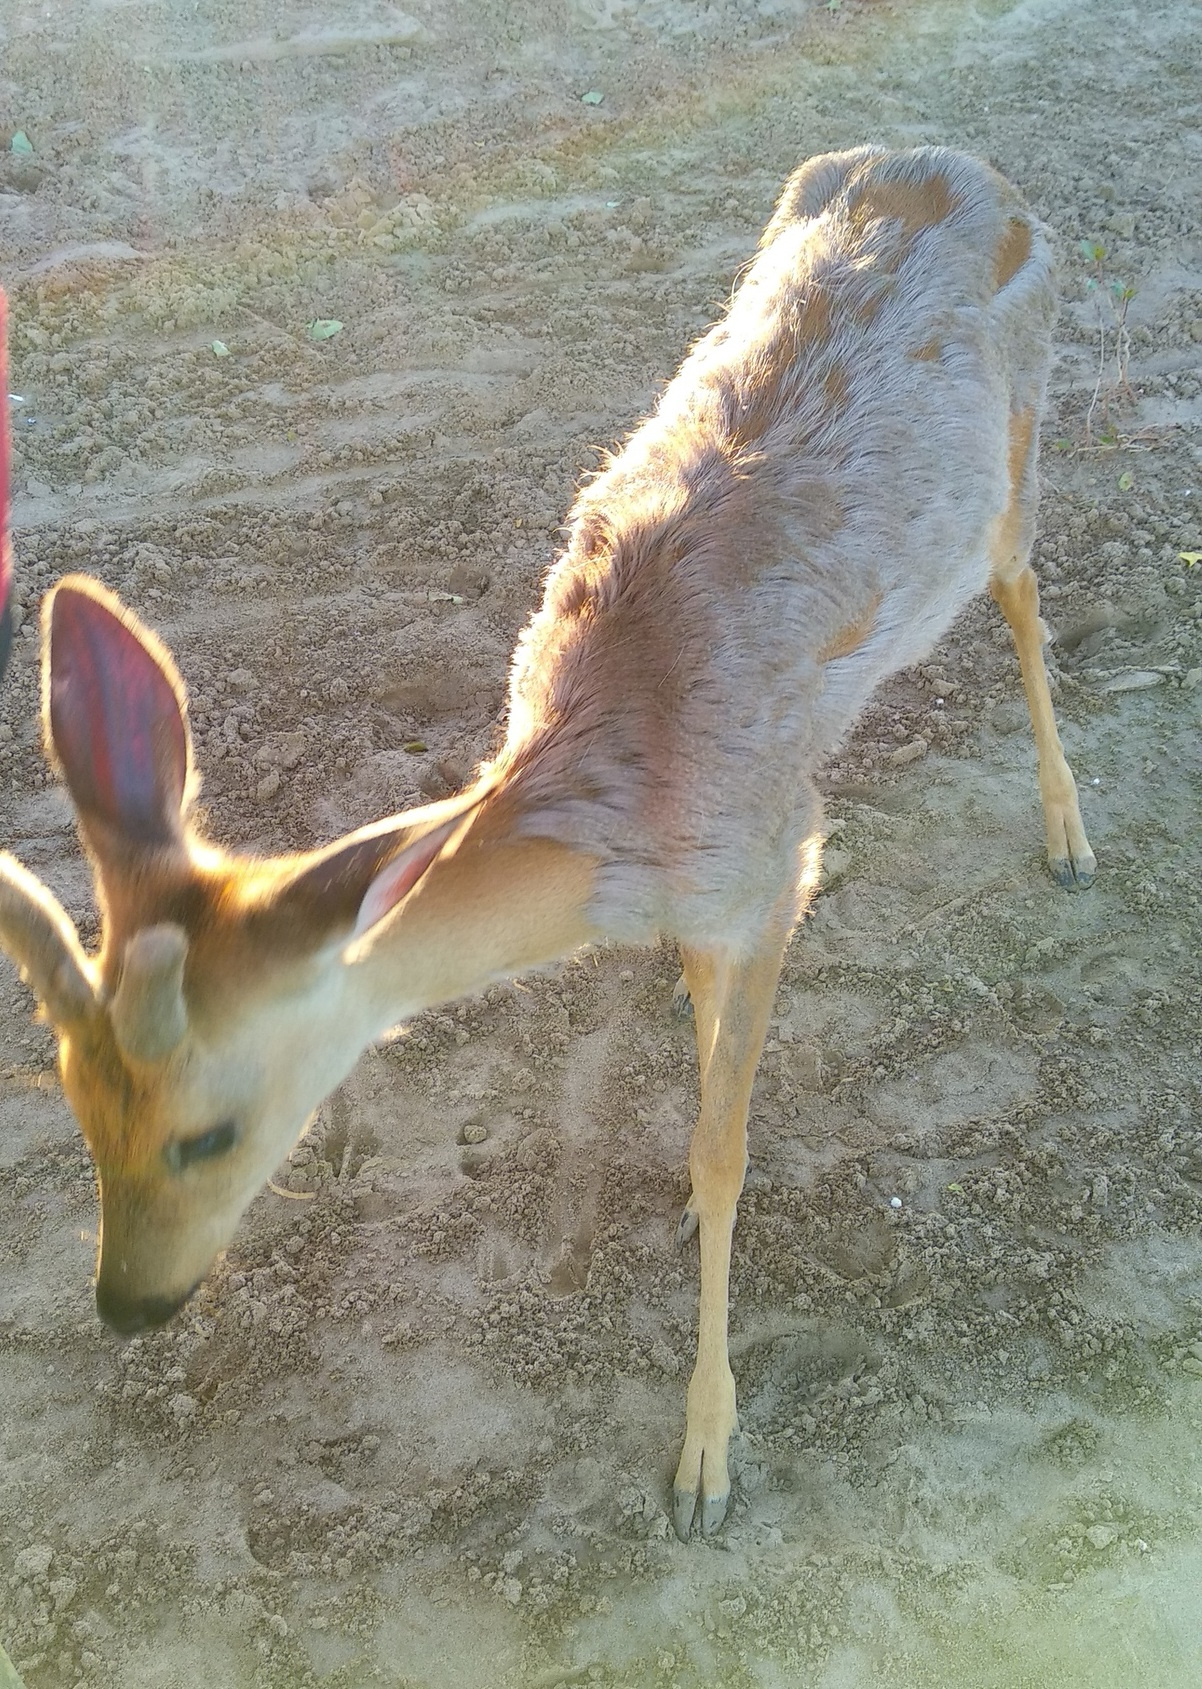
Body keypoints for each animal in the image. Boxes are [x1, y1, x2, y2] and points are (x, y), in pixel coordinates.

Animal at [0, 148, 1100, 1547]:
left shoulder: (765, 861)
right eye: (73, 1101)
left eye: (209, 1130)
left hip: (1023, 434)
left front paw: (702, 1463)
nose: (129, 1304)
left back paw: (1068, 838)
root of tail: (962, 165)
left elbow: (723, 1147)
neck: (617, 819)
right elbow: (706, 1071)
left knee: (1019, 584)